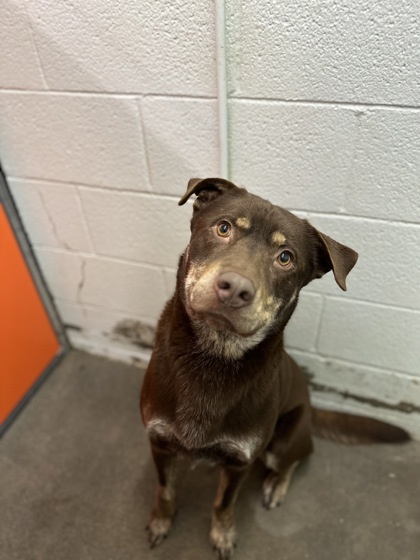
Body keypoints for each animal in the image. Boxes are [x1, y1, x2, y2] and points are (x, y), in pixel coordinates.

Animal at [139, 177, 408, 556]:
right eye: (223, 228)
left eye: (285, 258)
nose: (235, 289)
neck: (214, 355)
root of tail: (311, 405)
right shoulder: (159, 442)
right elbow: (165, 489)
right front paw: (162, 520)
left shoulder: (241, 460)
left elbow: (223, 503)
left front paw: (223, 534)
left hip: (281, 443)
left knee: (298, 456)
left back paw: (277, 484)